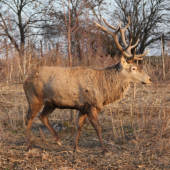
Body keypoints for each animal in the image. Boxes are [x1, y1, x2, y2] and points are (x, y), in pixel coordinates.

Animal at [22, 16, 151, 154]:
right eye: (133, 68)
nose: (149, 78)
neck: (103, 90)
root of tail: (25, 80)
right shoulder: (91, 105)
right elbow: (98, 127)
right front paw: (104, 150)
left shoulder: (82, 107)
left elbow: (79, 126)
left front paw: (76, 147)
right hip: (34, 99)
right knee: (28, 119)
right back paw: (29, 146)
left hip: (51, 102)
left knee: (43, 116)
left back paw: (58, 139)